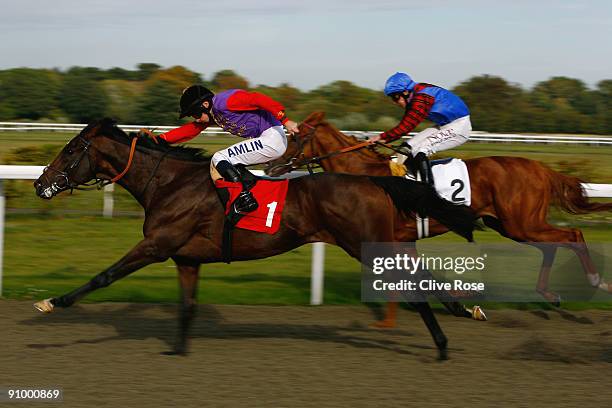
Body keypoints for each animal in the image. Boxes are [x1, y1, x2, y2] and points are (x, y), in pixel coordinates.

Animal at [31, 118, 476, 360]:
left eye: (71, 149)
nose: (39, 184)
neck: (169, 183)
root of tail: (374, 181)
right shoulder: (186, 258)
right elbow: (187, 306)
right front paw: (178, 350)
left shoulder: (157, 245)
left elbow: (103, 276)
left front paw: (52, 302)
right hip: (383, 242)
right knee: (421, 277)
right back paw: (462, 312)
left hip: (367, 245)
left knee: (414, 287)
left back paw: (443, 341)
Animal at [266, 112, 612, 328]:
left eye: (294, 138)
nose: (270, 167)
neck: (367, 175)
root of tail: (540, 168)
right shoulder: (403, 240)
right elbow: (416, 279)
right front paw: (463, 304)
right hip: (512, 225)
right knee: (551, 246)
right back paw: (549, 294)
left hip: (522, 223)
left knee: (572, 236)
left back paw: (596, 280)